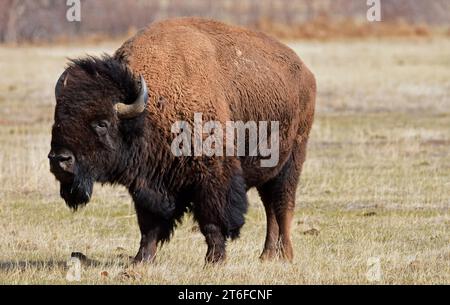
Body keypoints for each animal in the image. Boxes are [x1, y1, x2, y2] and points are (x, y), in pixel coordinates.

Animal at [49, 17, 316, 264]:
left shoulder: (213, 177)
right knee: (270, 207)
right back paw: (267, 256)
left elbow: (212, 221)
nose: (59, 159)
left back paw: (286, 255)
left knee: (283, 206)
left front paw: (214, 261)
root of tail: (305, 73)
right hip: (269, 172)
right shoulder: (148, 184)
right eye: (57, 118)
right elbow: (149, 224)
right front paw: (141, 259)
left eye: (102, 123)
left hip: (292, 162)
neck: (150, 108)